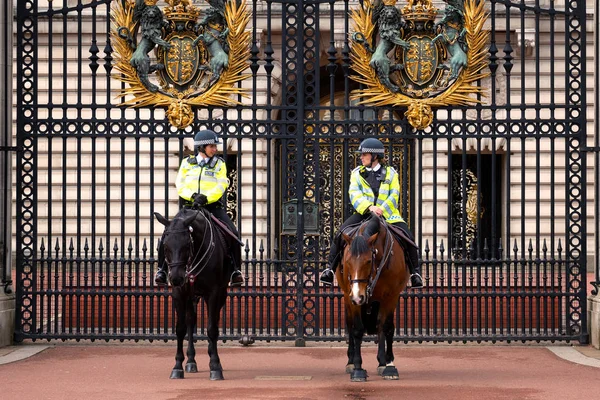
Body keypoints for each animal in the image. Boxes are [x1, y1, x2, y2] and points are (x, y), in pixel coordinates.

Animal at [155, 208, 232, 380]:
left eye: (186, 245)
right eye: (165, 246)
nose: (176, 278)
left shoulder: (213, 292)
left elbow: (211, 328)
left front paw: (215, 366)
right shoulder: (179, 293)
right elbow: (180, 328)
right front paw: (177, 366)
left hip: (220, 293)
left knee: (214, 320)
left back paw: (214, 359)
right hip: (191, 296)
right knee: (191, 321)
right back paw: (191, 361)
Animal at [336, 214, 410, 382]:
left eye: (368, 260)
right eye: (348, 261)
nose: (358, 296)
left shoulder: (391, 296)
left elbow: (386, 327)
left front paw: (388, 365)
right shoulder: (353, 296)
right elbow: (357, 329)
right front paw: (358, 368)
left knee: (380, 325)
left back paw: (382, 362)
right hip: (348, 296)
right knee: (350, 325)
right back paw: (350, 362)